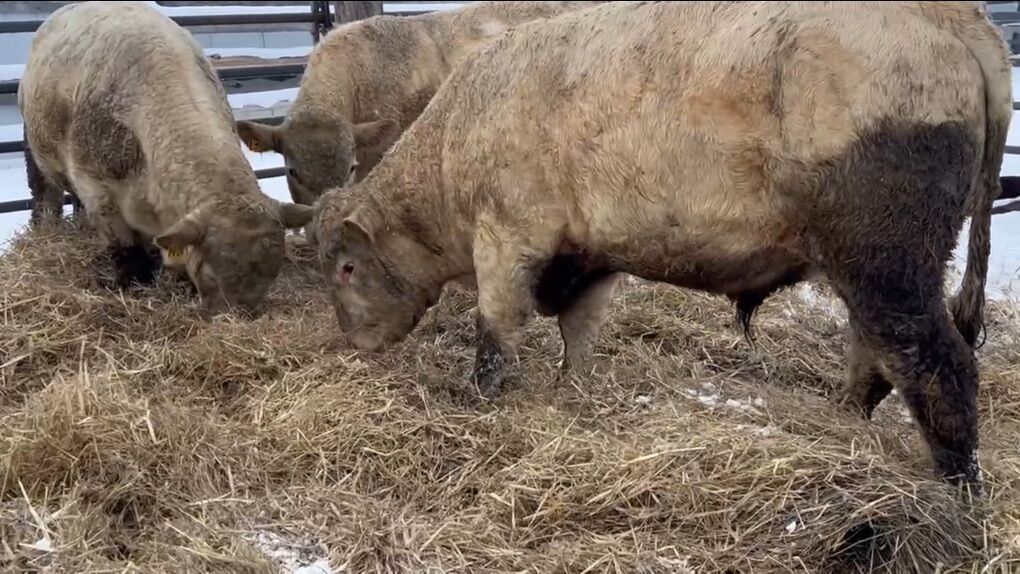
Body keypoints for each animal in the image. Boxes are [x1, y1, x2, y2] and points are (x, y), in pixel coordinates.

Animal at [19, 1, 314, 315]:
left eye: (272, 273)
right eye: (211, 274)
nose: (238, 315)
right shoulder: (96, 187)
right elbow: (125, 249)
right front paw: (131, 283)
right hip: (36, 148)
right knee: (44, 194)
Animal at [312, 0, 1010, 489]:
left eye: (345, 267)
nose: (351, 341)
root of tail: (955, 18)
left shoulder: (508, 237)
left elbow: (495, 329)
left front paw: (482, 397)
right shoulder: (589, 256)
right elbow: (579, 329)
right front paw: (572, 390)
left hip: (888, 256)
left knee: (936, 364)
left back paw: (956, 493)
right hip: (871, 266)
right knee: (875, 355)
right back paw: (842, 425)